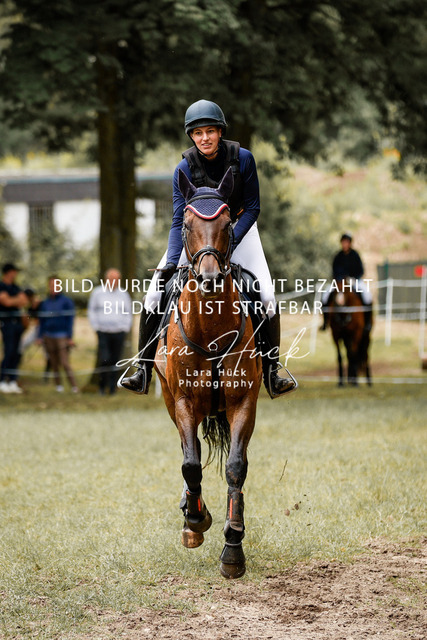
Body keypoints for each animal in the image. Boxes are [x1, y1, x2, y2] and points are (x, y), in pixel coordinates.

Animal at [154, 168, 262, 579]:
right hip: (173, 403)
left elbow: (235, 468)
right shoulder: (184, 401)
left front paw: (233, 547)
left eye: (228, 223)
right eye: (186, 223)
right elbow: (190, 463)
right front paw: (196, 522)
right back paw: (191, 514)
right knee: (191, 454)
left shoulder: (243, 402)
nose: (211, 279)